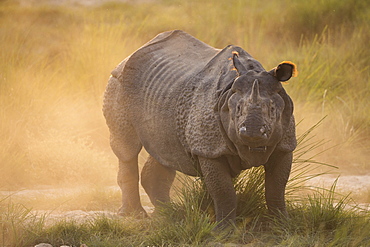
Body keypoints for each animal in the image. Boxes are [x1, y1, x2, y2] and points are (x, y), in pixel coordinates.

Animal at [103, 29, 298, 227]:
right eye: (237, 109)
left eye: (273, 110)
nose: (252, 133)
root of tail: (127, 57)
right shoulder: (209, 150)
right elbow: (224, 191)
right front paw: (224, 229)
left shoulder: (285, 146)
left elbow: (276, 188)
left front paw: (282, 223)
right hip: (118, 82)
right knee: (127, 149)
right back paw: (135, 215)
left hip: (162, 90)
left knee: (164, 153)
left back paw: (169, 214)